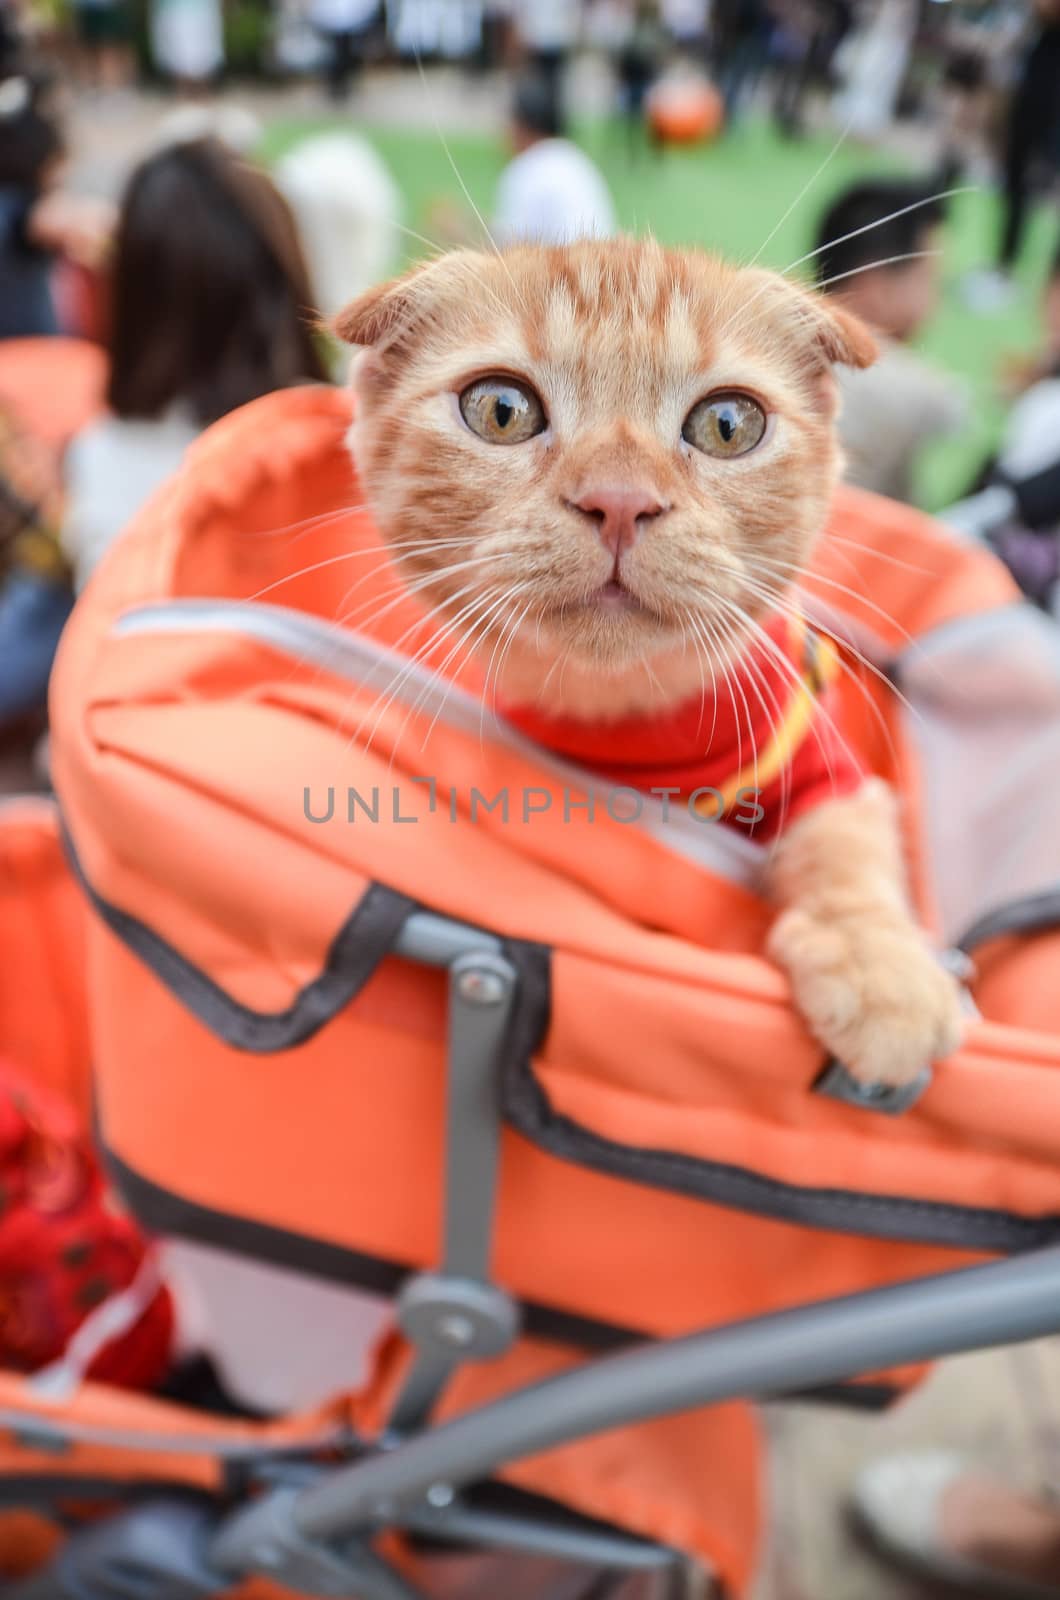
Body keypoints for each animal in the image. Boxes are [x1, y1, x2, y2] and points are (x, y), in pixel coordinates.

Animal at [336, 233, 967, 1088]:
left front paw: (882, 968)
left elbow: (849, 841)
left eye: (729, 424)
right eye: (501, 410)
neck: (636, 727)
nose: (620, 500)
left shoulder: (826, 763)